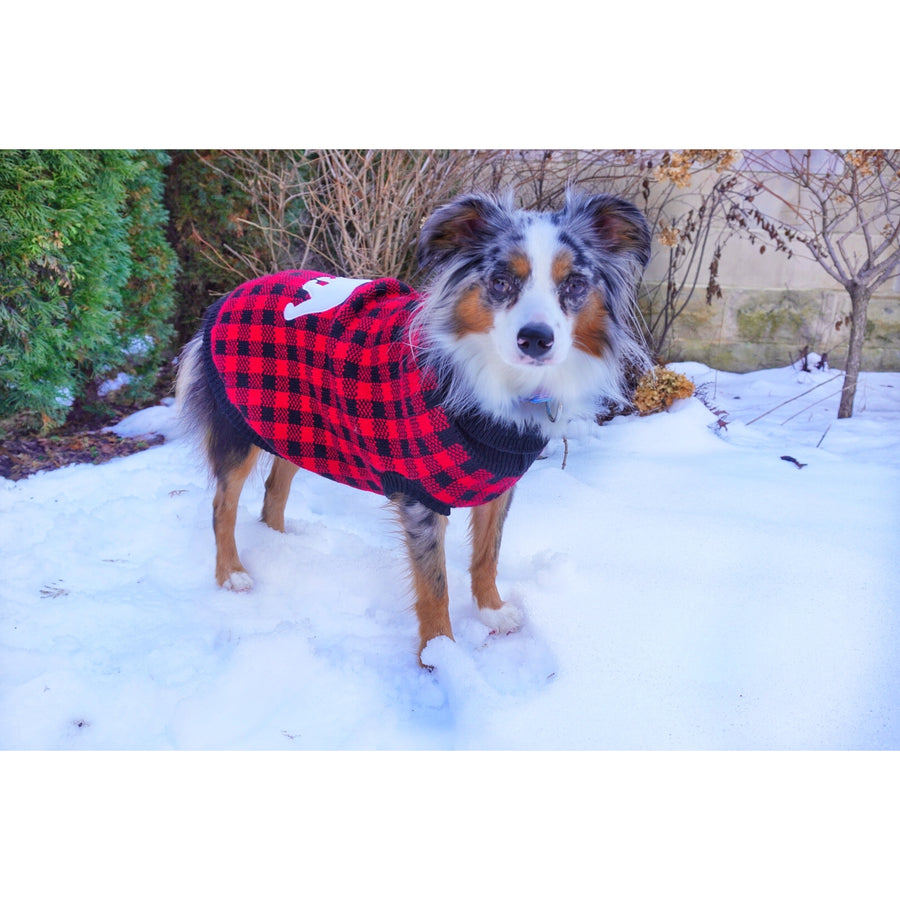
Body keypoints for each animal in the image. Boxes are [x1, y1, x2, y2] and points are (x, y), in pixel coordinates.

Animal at [176, 193, 652, 664]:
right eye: (500, 281)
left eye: (574, 284)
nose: (535, 339)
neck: (492, 381)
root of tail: (233, 293)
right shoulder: (421, 498)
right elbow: (434, 585)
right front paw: (439, 655)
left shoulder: (499, 485)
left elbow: (487, 554)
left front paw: (492, 611)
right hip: (239, 429)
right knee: (222, 504)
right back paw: (232, 573)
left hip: (301, 425)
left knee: (275, 488)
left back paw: (281, 545)